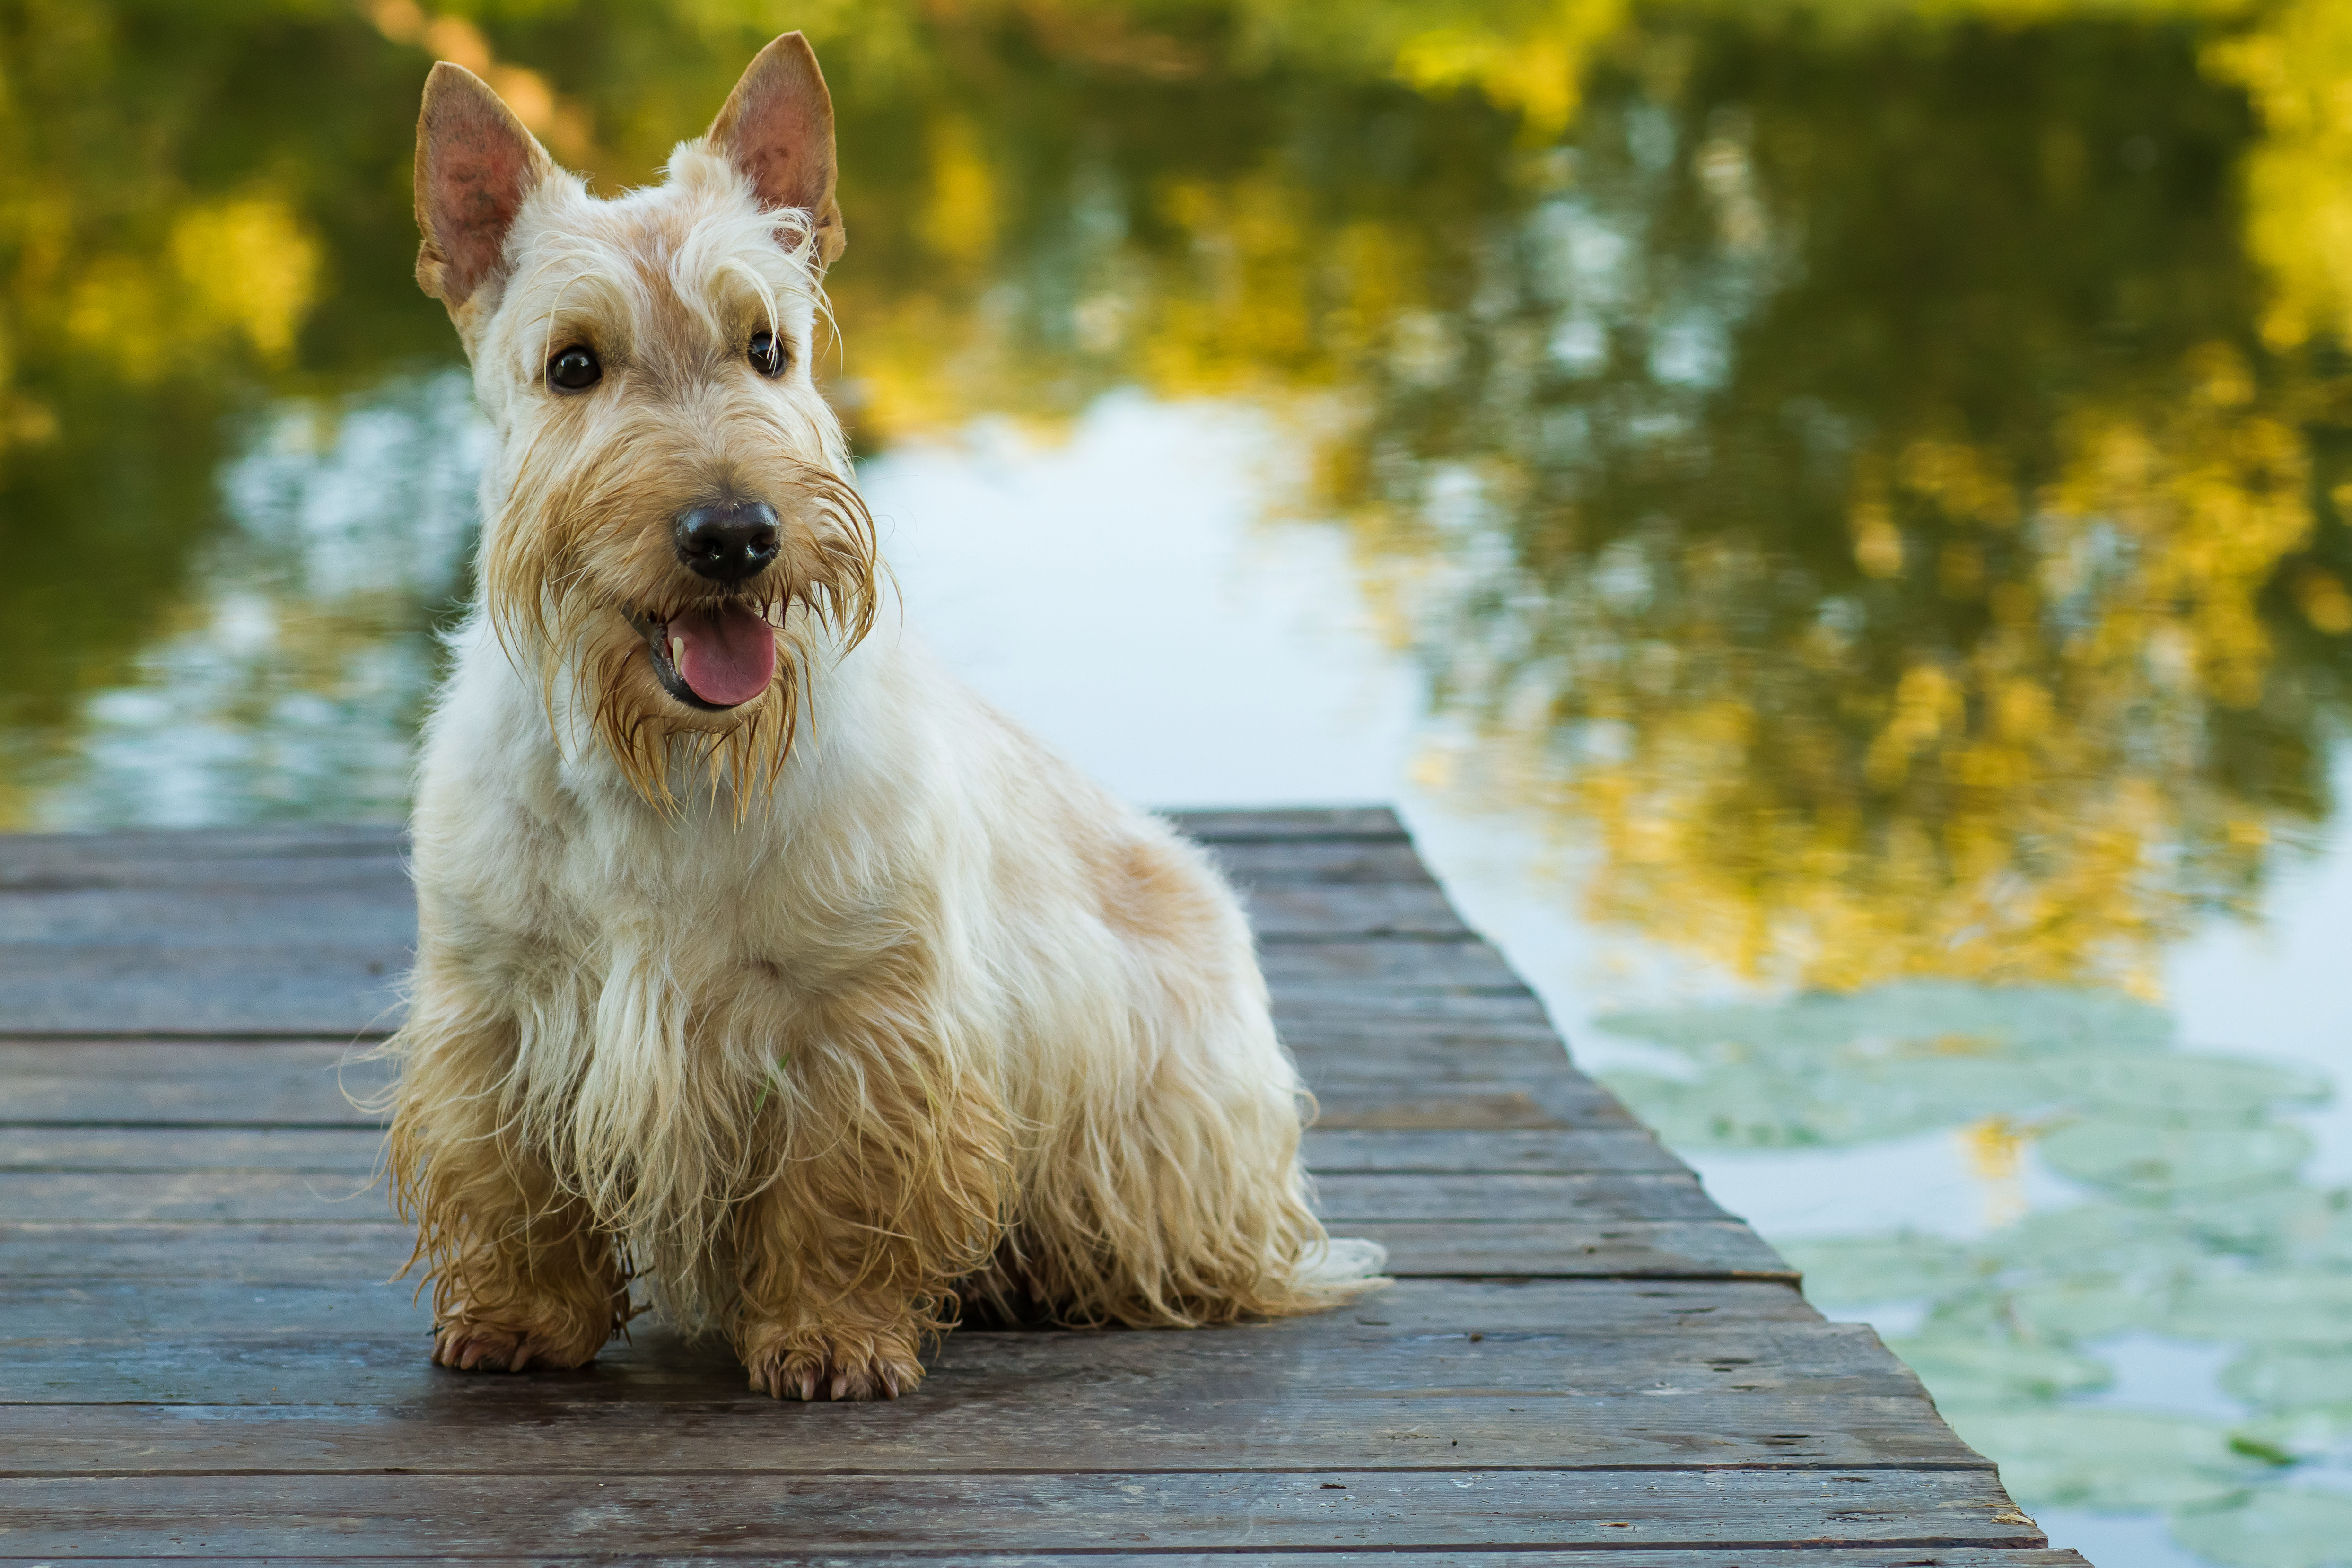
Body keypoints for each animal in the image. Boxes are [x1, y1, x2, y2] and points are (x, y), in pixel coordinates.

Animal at [381, 27, 1373, 1401]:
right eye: (572, 364)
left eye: (766, 347)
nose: (734, 534)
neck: (673, 763)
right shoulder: (496, 1000)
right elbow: (513, 1177)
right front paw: (522, 1317)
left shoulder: (864, 1012)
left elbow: (837, 1190)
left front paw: (830, 1336)